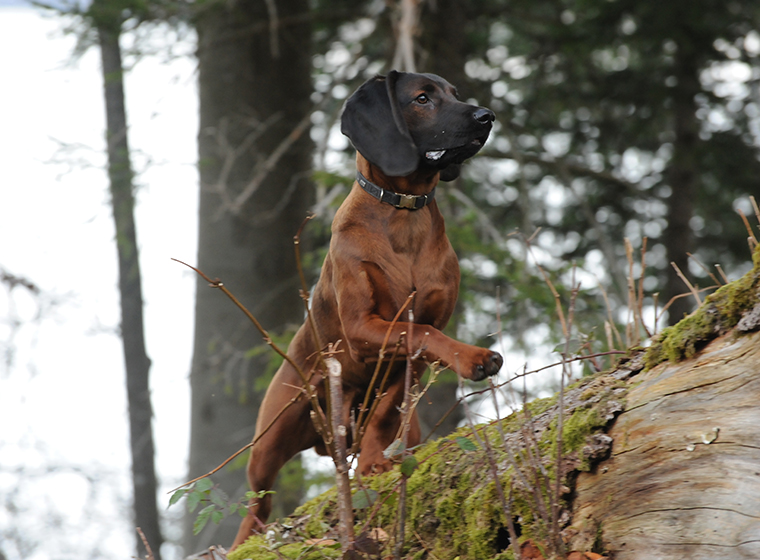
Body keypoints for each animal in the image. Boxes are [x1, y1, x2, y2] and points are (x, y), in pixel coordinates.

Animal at [232, 72, 504, 548]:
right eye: (422, 98)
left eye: (454, 93)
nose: (486, 115)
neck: (403, 211)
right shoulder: (363, 329)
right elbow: (422, 334)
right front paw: (474, 357)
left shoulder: (418, 338)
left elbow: (394, 394)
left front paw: (375, 460)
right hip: (273, 435)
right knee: (258, 505)